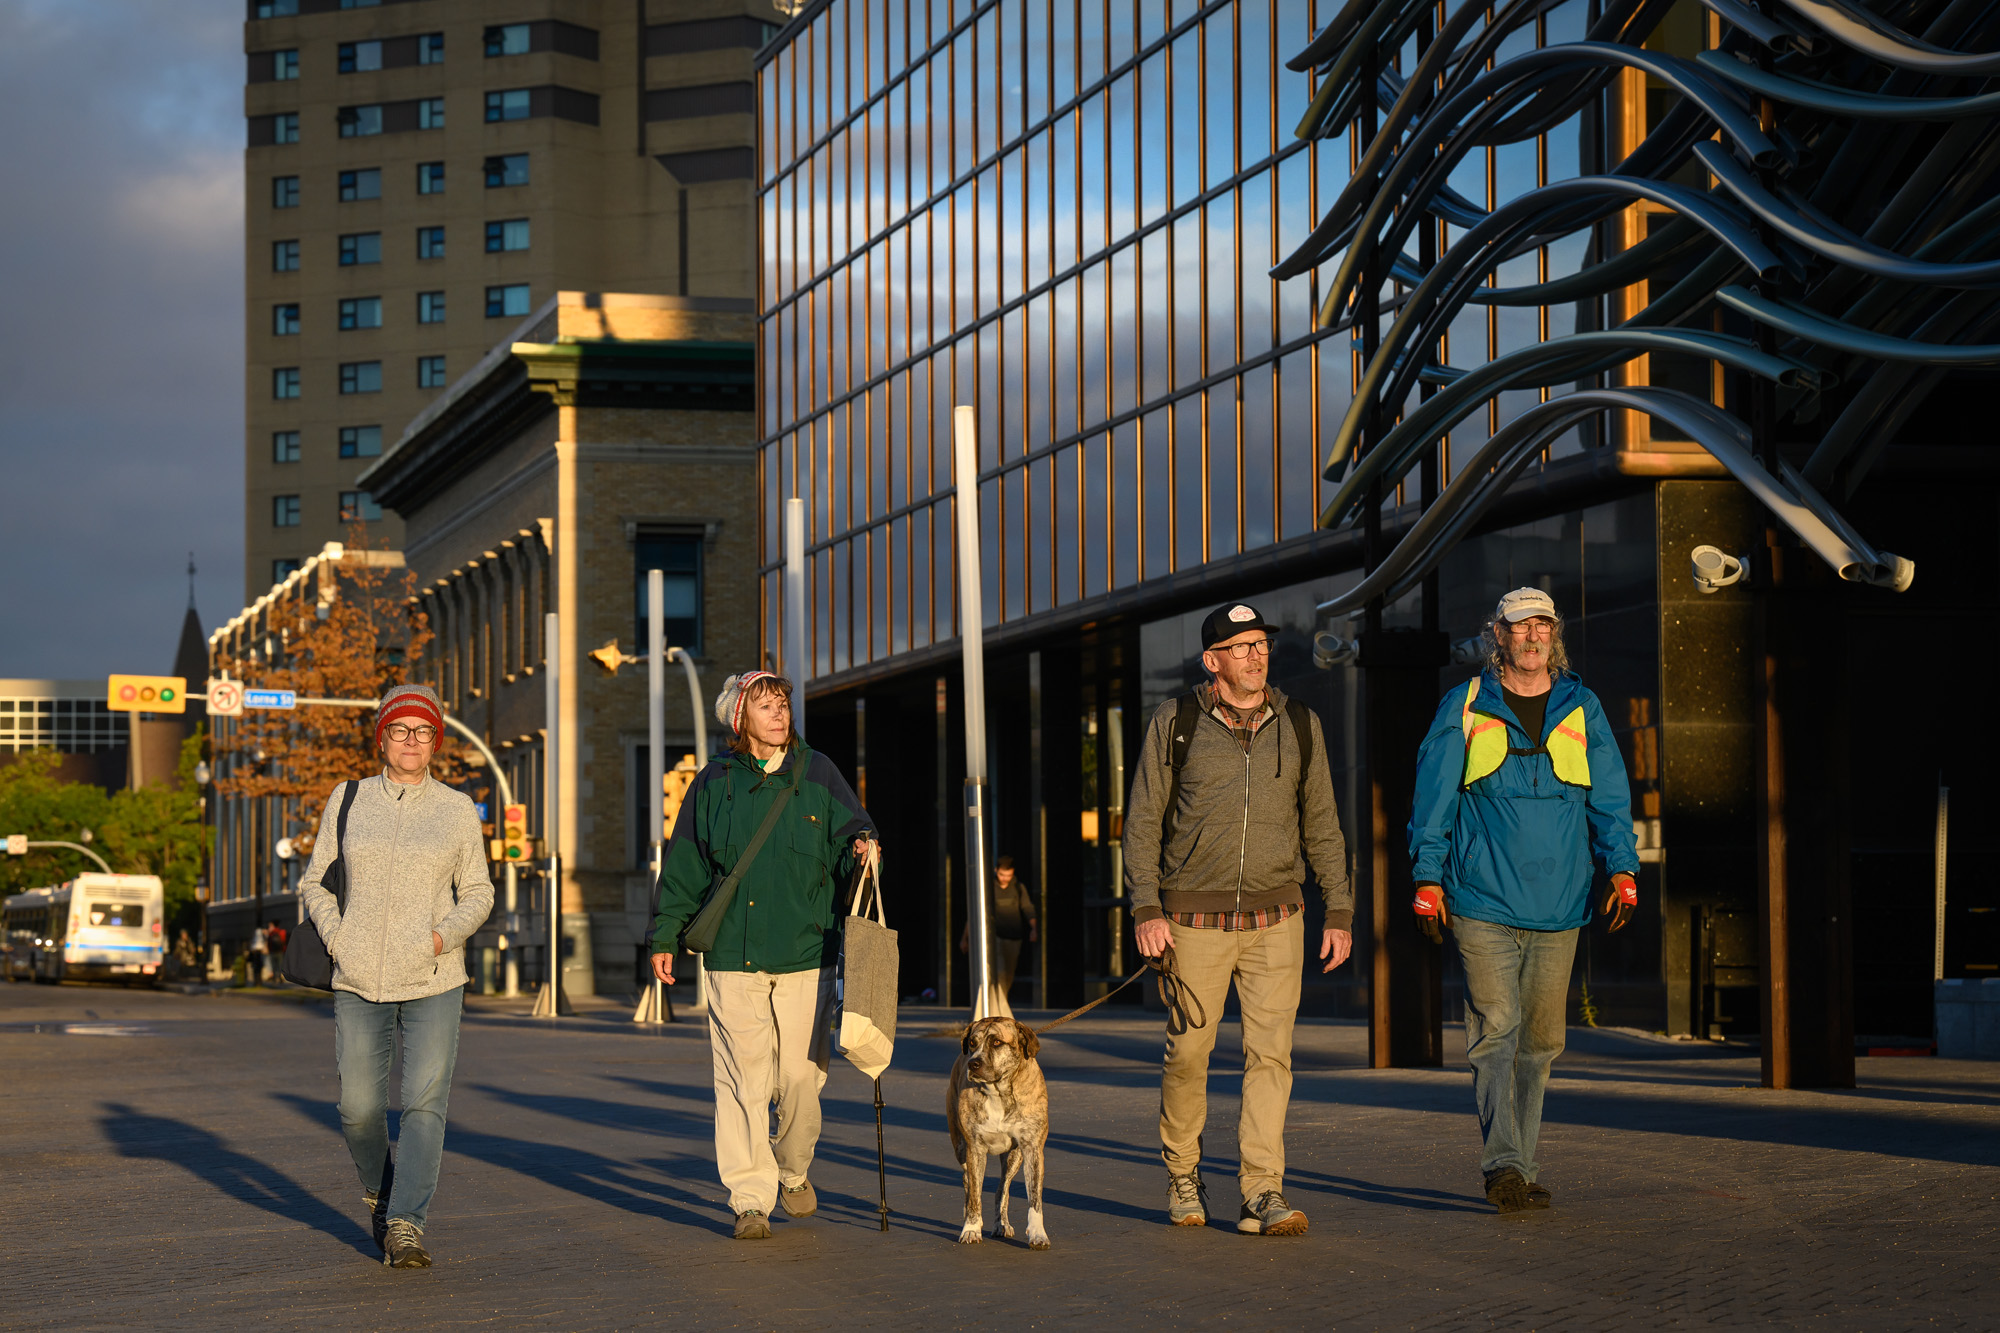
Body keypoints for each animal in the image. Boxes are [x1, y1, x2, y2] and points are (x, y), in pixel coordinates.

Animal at [948, 1016, 1056, 1248]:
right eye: (972, 1043)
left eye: (997, 1042)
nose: (973, 1063)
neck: (998, 1091)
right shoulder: (974, 1149)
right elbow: (975, 1194)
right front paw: (971, 1228)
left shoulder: (1032, 1149)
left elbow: (1034, 1197)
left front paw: (1037, 1233)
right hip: (960, 1148)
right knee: (968, 1182)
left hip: (1014, 1158)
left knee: (1002, 1189)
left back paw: (1001, 1224)